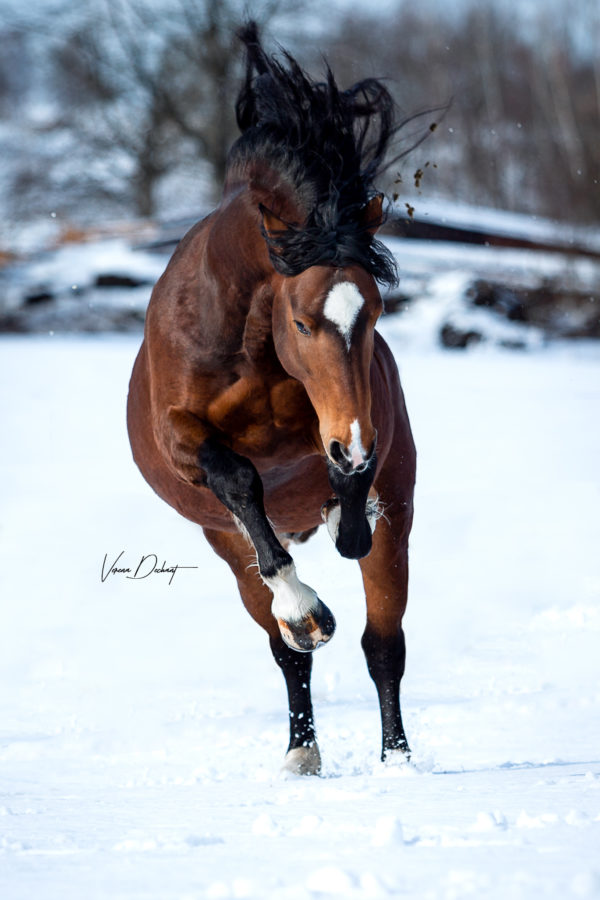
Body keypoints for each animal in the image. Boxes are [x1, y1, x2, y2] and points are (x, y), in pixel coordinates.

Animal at [126, 24, 418, 776]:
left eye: (375, 310)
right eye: (303, 322)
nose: (354, 442)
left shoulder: (362, 424)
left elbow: (351, 494)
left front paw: (348, 513)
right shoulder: (180, 438)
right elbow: (235, 476)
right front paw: (308, 610)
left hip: (397, 522)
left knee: (384, 644)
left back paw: (398, 761)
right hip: (226, 547)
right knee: (288, 650)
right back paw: (301, 745)